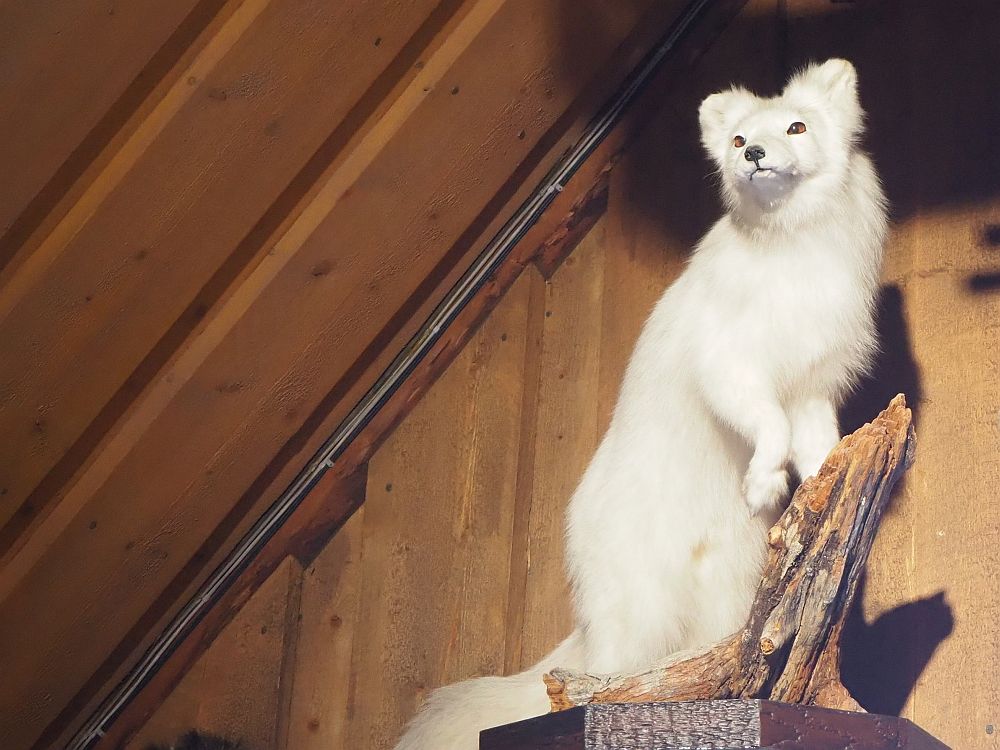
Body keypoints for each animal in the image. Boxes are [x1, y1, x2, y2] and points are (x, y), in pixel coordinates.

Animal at [394, 57, 888, 750]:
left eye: (797, 125)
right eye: (740, 139)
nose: (754, 155)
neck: (793, 260)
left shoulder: (814, 386)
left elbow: (819, 444)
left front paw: (825, 483)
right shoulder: (729, 366)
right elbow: (764, 420)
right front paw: (764, 481)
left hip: (726, 589)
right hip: (636, 606)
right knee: (603, 673)